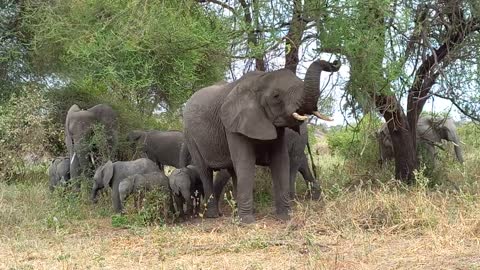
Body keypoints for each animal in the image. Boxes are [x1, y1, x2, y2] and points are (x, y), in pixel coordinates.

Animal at [182, 59, 340, 224]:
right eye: (276, 96)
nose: (334, 63)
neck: (260, 79)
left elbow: (280, 160)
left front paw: (285, 217)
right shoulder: (233, 123)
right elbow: (245, 162)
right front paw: (247, 222)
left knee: (234, 170)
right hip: (190, 135)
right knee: (205, 170)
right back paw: (213, 215)